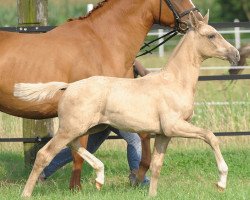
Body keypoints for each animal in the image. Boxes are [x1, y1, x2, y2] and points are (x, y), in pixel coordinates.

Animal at [14, 11, 239, 198]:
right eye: (211, 35)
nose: (235, 54)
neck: (174, 82)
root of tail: (68, 87)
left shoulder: (164, 134)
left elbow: (156, 165)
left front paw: (152, 195)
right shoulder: (175, 126)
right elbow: (210, 136)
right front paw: (221, 182)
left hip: (88, 128)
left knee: (75, 146)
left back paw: (99, 177)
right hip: (71, 128)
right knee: (45, 154)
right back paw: (26, 193)